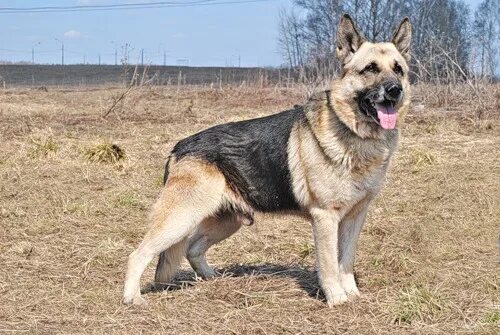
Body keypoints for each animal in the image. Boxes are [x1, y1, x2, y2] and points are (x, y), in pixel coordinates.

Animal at [123, 14, 412, 308]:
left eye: (398, 69)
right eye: (370, 69)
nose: (395, 90)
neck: (354, 133)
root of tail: (179, 147)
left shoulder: (355, 218)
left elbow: (346, 261)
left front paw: (352, 294)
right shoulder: (326, 218)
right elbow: (330, 265)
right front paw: (336, 299)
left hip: (227, 221)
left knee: (192, 249)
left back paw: (212, 278)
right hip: (180, 219)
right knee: (138, 254)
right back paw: (132, 298)